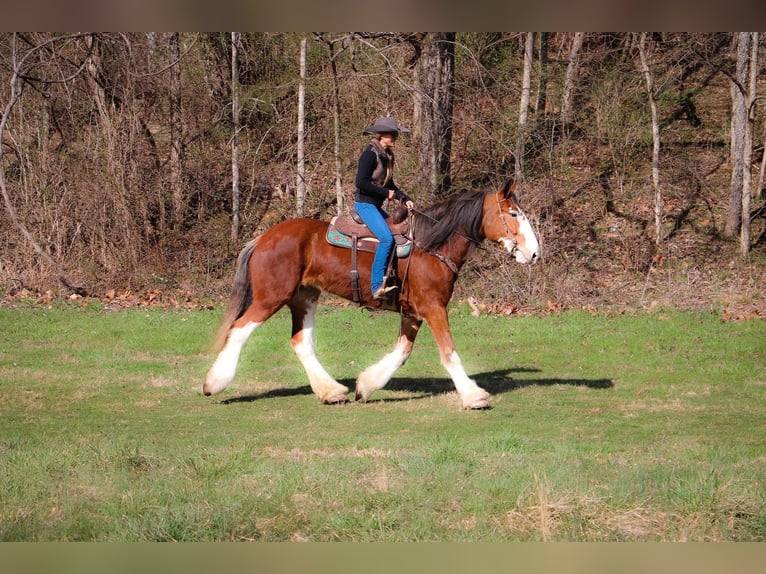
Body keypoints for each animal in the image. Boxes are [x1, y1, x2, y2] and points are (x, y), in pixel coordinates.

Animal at [204, 180, 540, 410]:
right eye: (513, 213)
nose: (534, 253)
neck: (430, 246)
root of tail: (262, 238)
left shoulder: (414, 312)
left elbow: (402, 352)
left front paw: (365, 385)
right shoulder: (434, 307)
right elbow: (449, 353)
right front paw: (473, 395)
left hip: (305, 297)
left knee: (301, 342)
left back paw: (331, 391)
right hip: (271, 297)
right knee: (239, 330)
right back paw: (214, 382)